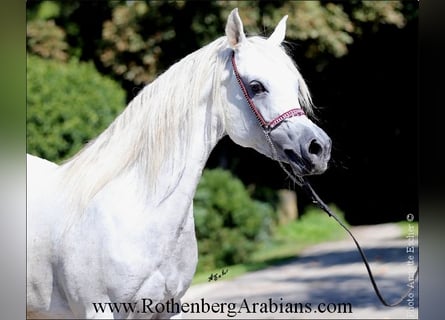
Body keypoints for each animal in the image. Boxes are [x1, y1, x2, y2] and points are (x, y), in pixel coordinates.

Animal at [26, 8, 328, 318]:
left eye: (294, 85)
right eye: (256, 86)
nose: (318, 148)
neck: (140, 208)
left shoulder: (169, 306)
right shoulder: (97, 309)